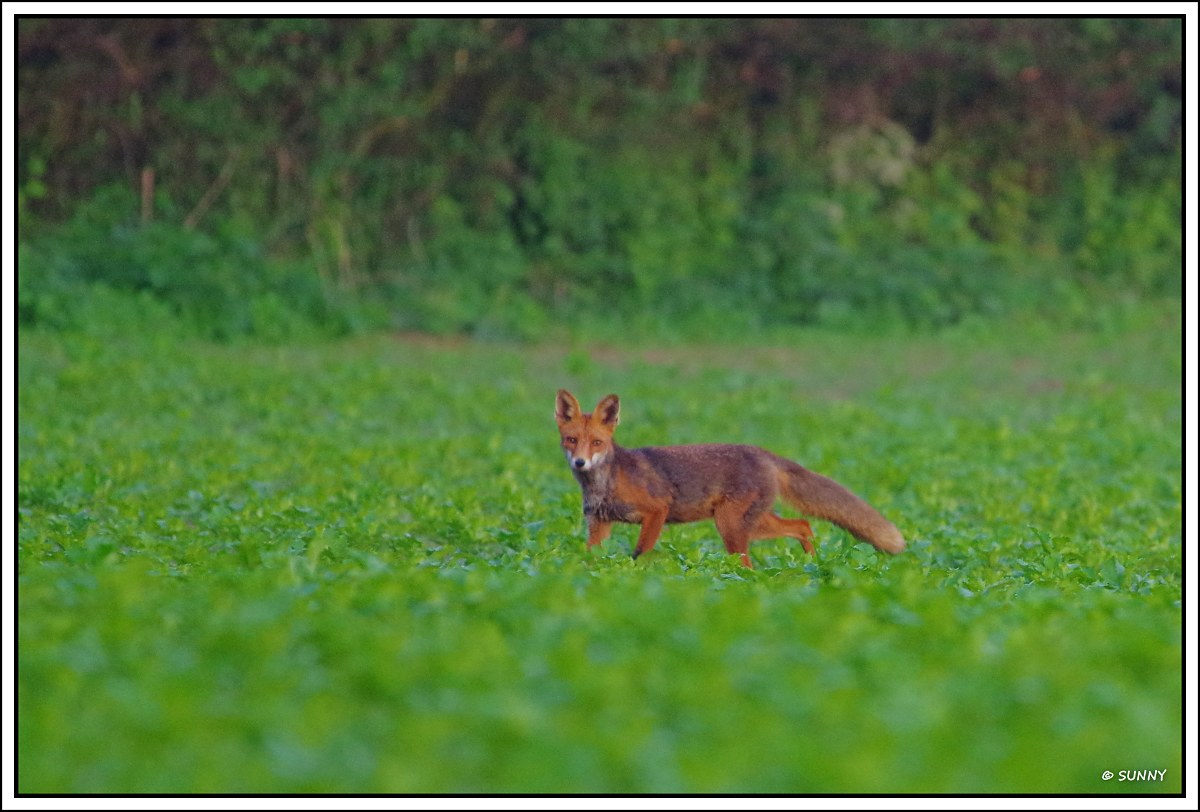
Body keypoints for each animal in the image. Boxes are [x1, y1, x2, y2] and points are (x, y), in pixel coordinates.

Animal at [556, 388, 902, 566]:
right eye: (571, 440)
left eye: (597, 443)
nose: (581, 462)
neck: (605, 484)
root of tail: (761, 452)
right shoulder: (599, 524)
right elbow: (589, 556)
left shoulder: (657, 511)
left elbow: (639, 553)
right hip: (750, 523)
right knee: (803, 525)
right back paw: (812, 567)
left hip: (730, 525)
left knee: (755, 560)